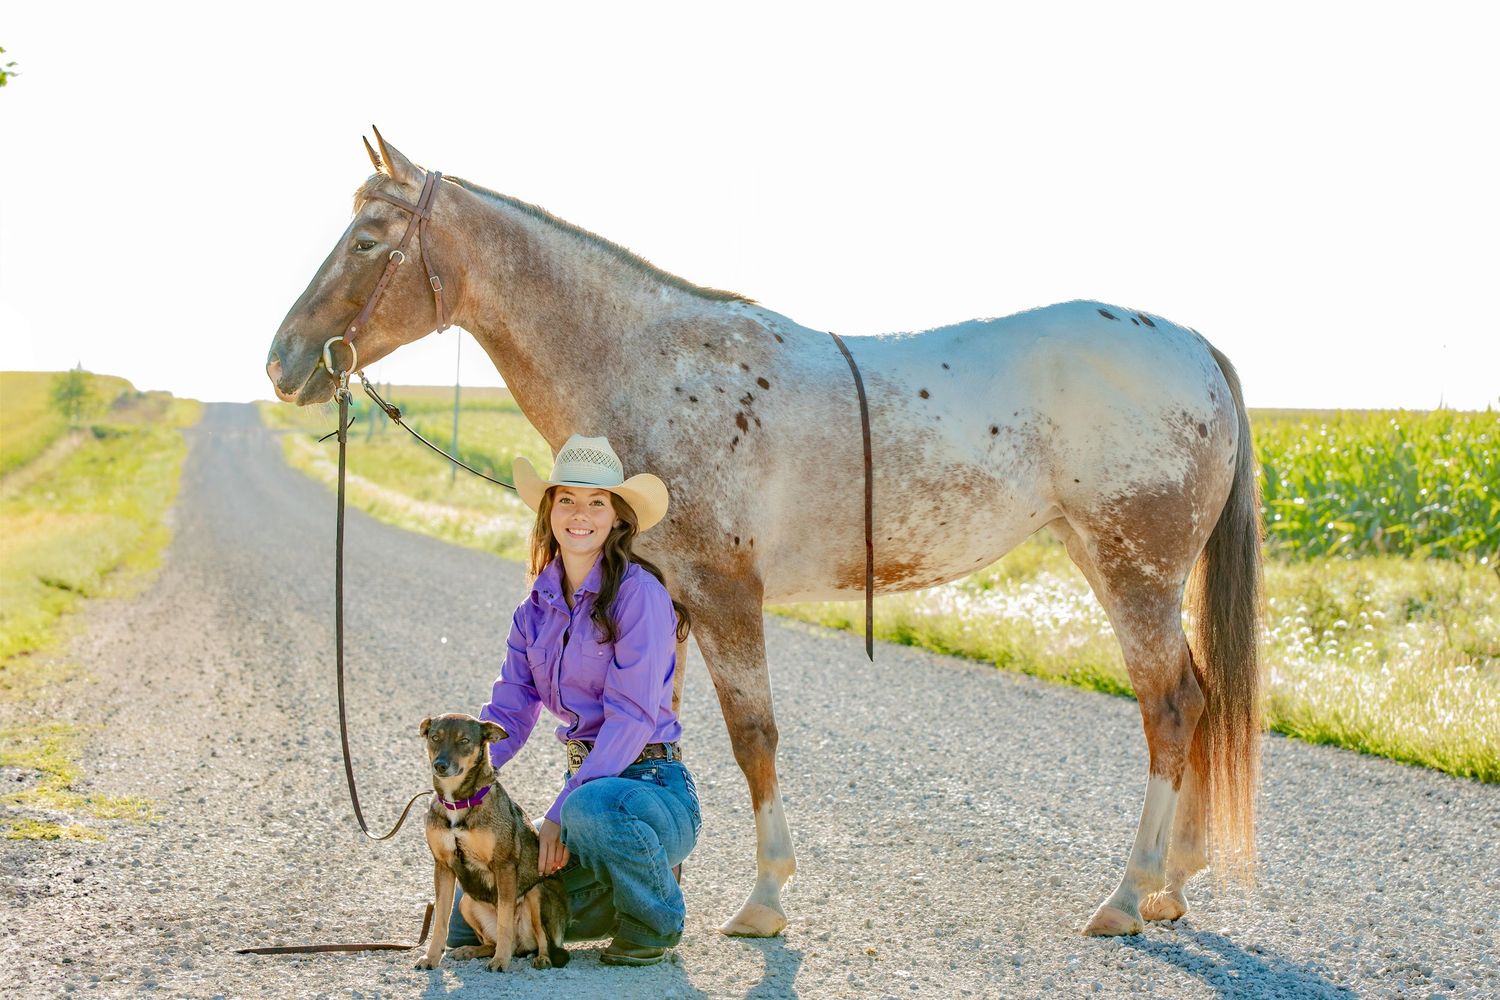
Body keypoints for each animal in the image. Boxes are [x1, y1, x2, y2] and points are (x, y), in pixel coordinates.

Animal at [266, 130, 1263, 939]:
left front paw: (765, 900)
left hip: (1133, 571)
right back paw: (1173, 886)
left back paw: (1128, 896)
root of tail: (1194, 346)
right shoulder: (669, 601)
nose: (281, 362)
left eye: (367, 240)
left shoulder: (723, 594)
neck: (650, 365)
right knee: (1201, 698)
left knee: (1172, 707)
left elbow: (754, 737)